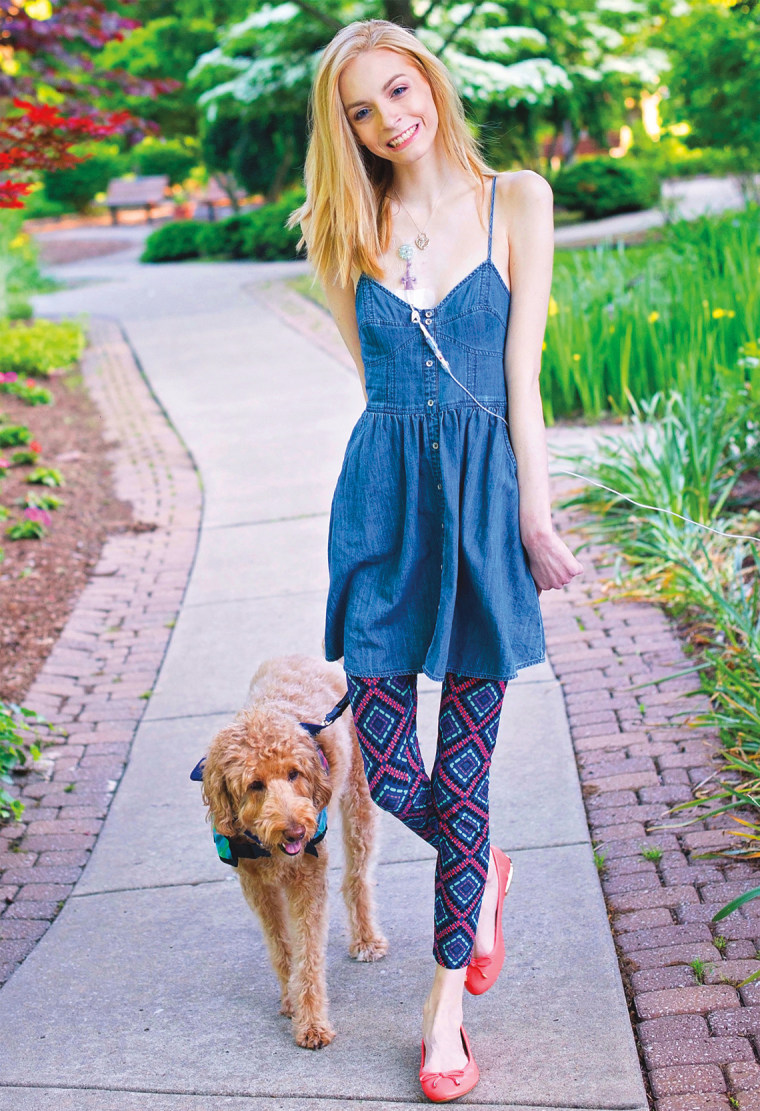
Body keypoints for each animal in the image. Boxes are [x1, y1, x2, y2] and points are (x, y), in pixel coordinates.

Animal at [200, 653, 386, 1053]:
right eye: (255, 785)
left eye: (294, 773)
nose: (297, 830)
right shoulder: (256, 887)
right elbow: (282, 947)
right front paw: (291, 1001)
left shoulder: (308, 878)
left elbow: (309, 955)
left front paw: (312, 1022)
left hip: (359, 796)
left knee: (357, 876)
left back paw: (365, 939)